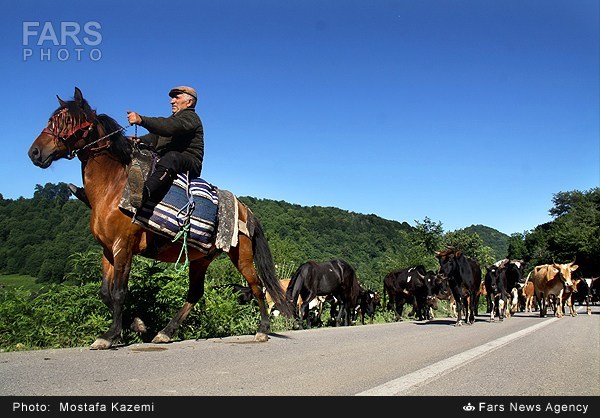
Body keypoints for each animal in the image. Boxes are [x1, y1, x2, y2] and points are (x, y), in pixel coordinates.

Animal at [27, 85, 294, 350]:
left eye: (67, 121)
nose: (35, 152)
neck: (113, 188)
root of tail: (245, 210)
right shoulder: (107, 250)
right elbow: (105, 292)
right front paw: (137, 324)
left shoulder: (124, 247)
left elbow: (119, 292)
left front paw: (111, 335)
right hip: (201, 259)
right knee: (195, 293)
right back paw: (165, 332)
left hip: (242, 256)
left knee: (257, 286)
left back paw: (262, 330)